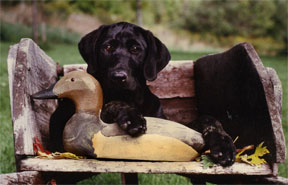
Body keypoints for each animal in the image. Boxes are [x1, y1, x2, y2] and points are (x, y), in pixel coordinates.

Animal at [50, 21, 235, 166]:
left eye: (135, 49)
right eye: (107, 47)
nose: (118, 77)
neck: (132, 98)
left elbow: (208, 119)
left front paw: (224, 145)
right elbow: (113, 103)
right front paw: (133, 117)